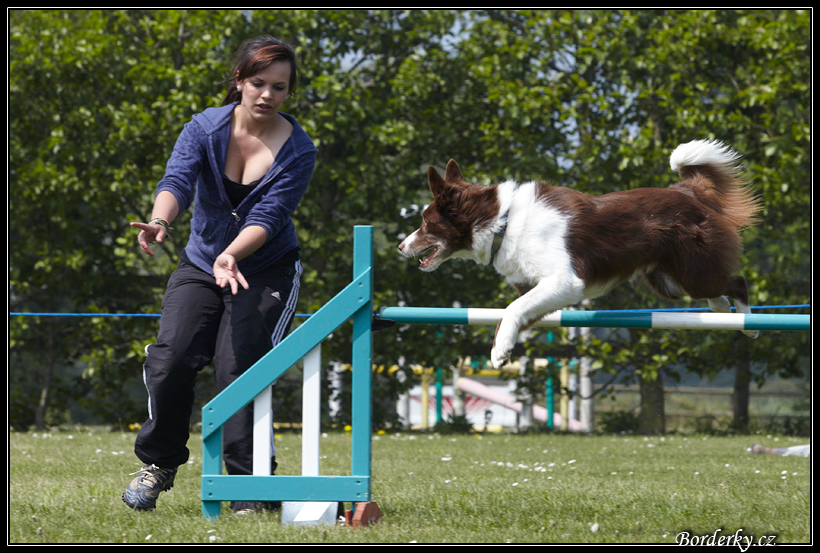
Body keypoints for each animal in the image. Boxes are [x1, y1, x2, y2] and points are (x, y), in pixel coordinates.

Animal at [398, 140, 764, 368]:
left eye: (426, 222)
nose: (401, 246)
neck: (502, 221)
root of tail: (686, 192)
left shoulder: (565, 281)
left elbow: (512, 309)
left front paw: (500, 351)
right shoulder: (539, 287)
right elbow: (517, 311)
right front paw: (506, 345)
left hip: (692, 272)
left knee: (738, 282)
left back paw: (750, 325)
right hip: (670, 281)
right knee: (718, 295)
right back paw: (727, 316)